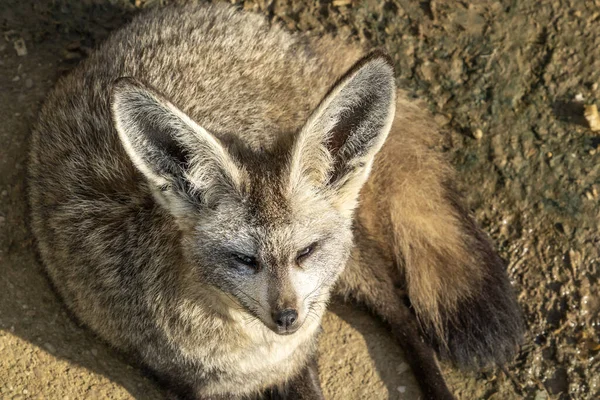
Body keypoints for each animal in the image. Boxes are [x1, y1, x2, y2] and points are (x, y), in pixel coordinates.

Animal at [28, 2, 524, 396]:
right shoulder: (200, 388)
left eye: (305, 251)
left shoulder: (301, 357)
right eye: (244, 259)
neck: (258, 357)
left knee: (402, 316)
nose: (287, 317)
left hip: (354, 268)